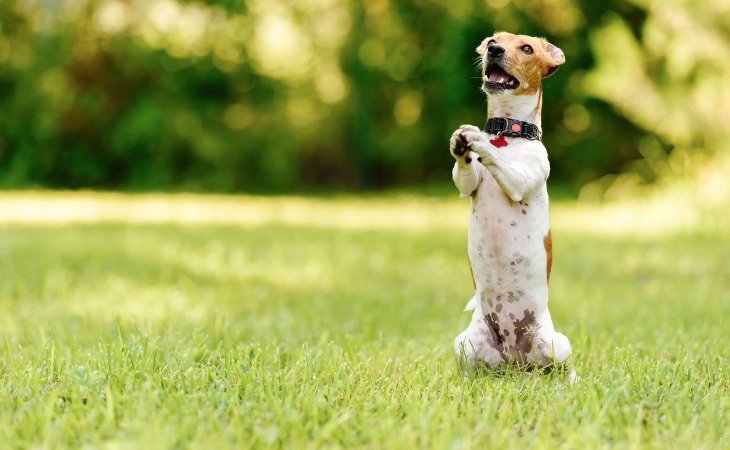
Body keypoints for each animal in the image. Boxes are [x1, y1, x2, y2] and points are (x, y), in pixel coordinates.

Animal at [450, 31, 576, 384]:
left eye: (527, 48)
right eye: (493, 39)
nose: (493, 50)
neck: (507, 133)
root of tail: (515, 361)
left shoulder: (520, 179)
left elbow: (501, 163)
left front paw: (479, 142)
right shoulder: (467, 185)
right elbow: (464, 173)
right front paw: (461, 146)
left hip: (556, 343)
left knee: (566, 367)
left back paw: (573, 381)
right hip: (464, 343)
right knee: (471, 368)